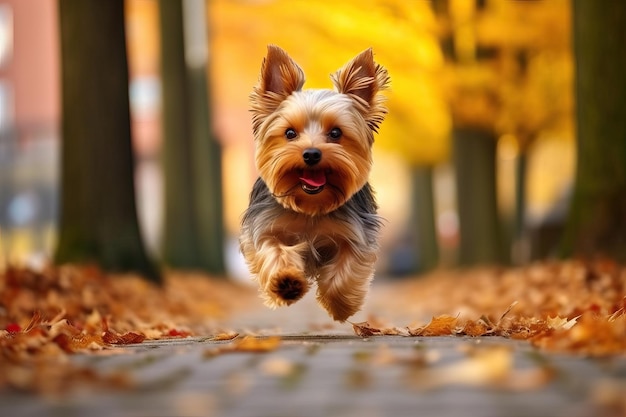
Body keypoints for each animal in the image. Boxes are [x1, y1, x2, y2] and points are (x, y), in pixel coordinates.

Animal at [240, 45, 390, 320]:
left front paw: (340, 305)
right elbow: (272, 250)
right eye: (290, 133)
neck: (310, 206)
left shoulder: (355, 234)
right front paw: (286, 283)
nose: (311, 154)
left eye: (336, 133)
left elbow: (346, 268)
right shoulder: (264, 227)